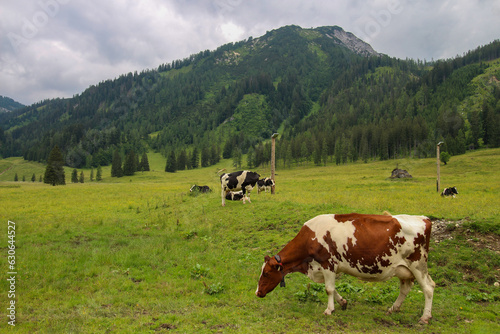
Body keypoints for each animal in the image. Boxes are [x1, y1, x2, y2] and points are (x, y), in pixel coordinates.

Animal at [256, 213, 436, 324]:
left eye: (266, 273)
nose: (258, 293)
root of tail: (424, 218)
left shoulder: (328, 263)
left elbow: (328, 289)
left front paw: (329, 310)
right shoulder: (325, 267)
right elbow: (332, 288)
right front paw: (342, 302)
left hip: (418, 265)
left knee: (428, 288)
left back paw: (425, 317)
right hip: (403, 269)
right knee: (405, 288)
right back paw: (393, 309)